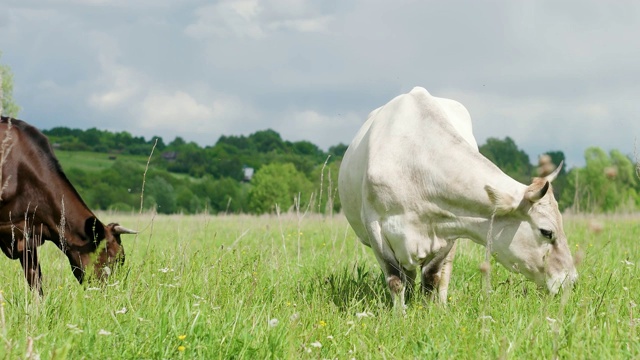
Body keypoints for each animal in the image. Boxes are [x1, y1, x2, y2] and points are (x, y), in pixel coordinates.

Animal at [340, 86, 580, 310]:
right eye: (547, 232)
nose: (571, 280)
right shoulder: (376, 230)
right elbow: (395, 280)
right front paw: (401, 316)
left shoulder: (447, 231)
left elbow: (432, 277)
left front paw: (428, 312)